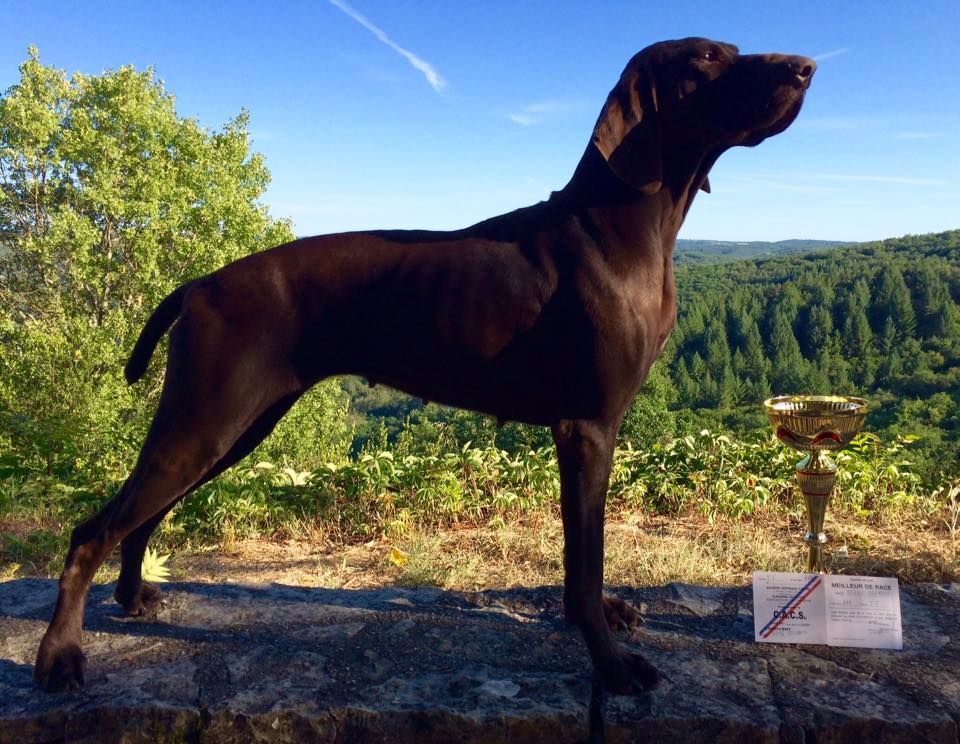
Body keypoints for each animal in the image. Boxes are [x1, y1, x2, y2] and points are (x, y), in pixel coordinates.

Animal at [33, 37, 812, 696]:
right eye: (707, 59)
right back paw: (60, 656)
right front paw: (612, 664)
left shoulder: (585, 432)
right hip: (207, 422)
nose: (805, 66)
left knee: (136, 517)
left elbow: (582, 559)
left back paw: (131, 597)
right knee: (92, 531)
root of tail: (200, 284)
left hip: (232, 427)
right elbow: (585, 559)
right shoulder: (587, 428)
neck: (620, 228)